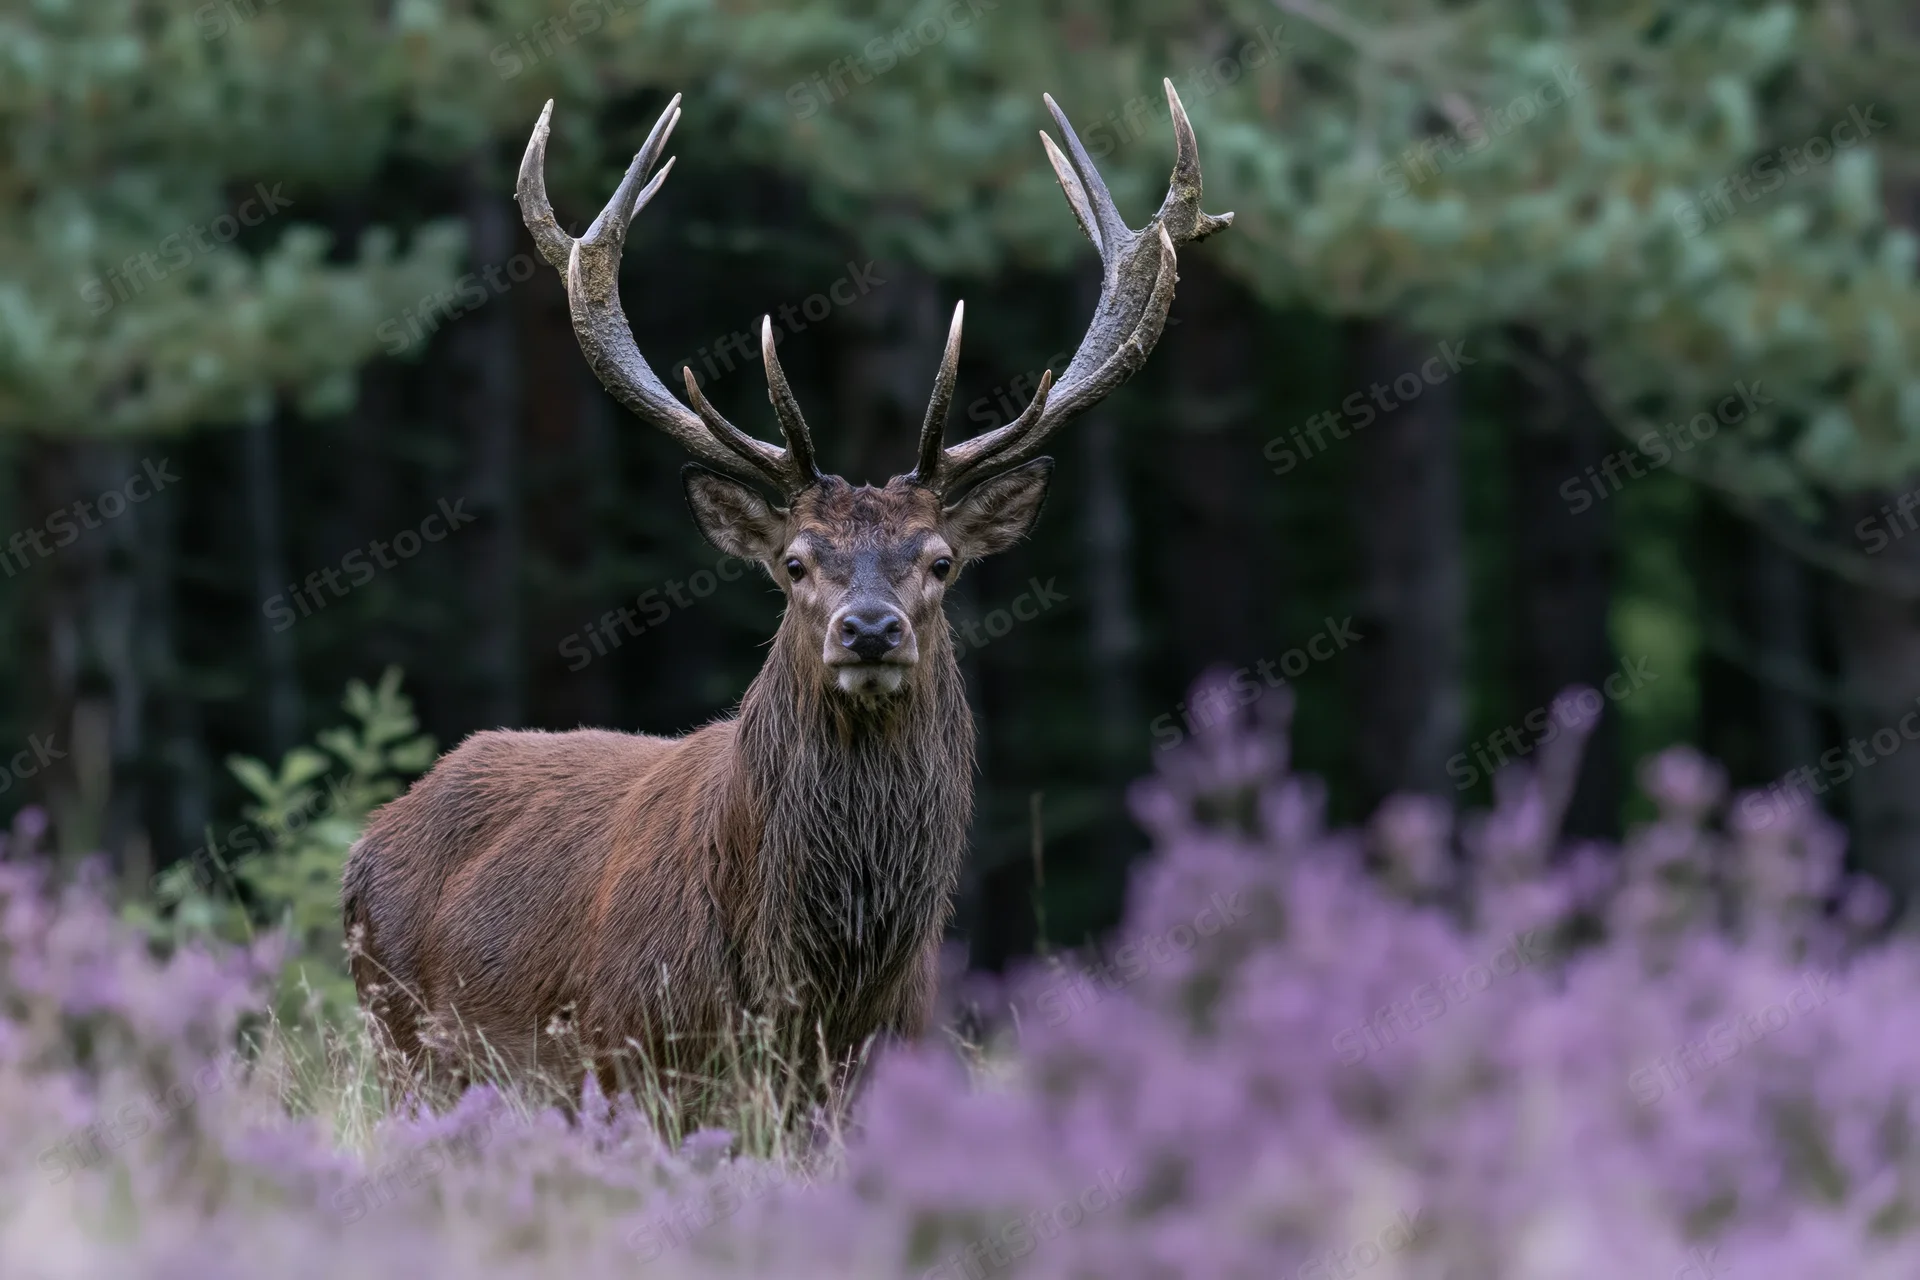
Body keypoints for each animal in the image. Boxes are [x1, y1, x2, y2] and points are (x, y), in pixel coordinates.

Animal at [342, 81, 1230, 1101]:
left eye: (941, 561)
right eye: (796, 563)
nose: (870, 630)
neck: (814, 984)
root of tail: (366, 845)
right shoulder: (634, 1059)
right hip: (406, 1048)